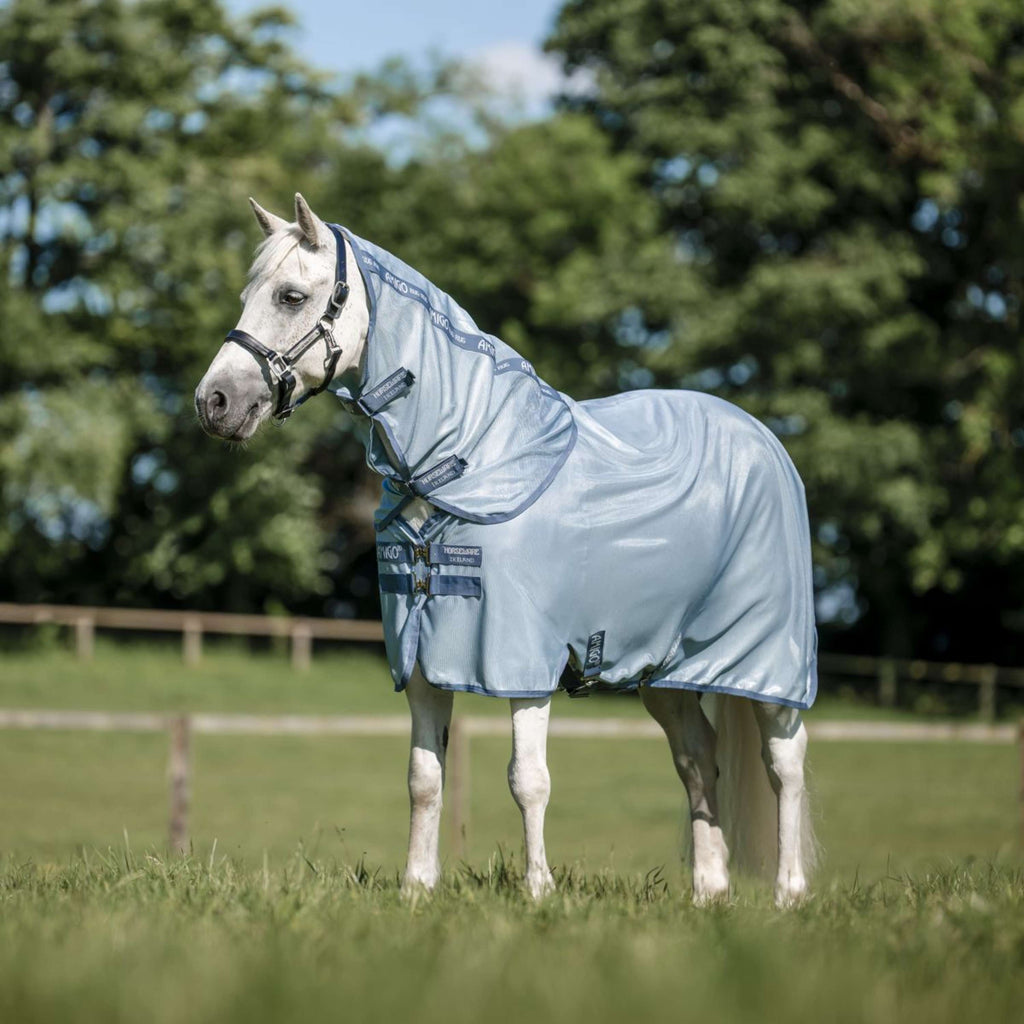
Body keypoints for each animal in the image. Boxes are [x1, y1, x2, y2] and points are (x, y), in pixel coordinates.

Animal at [195, 193, 817, 906]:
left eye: (292, 296)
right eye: (249, 294)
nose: (214, 402)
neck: (466, 457)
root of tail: (764, 441)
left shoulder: (523, 661)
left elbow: (529, 780)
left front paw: (538, 892)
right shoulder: (420, 659)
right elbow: (424, 778)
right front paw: (417, 889)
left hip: (769, 662)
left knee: (784, 765)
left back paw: (789, 894)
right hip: (663, 669)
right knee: (698, 761)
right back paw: (708, 892)